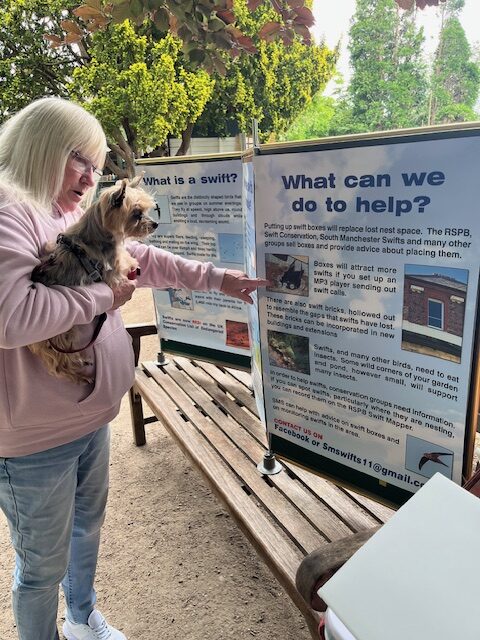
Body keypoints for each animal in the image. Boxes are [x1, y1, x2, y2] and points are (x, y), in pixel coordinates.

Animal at [28, 175, 158, 382]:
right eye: (137, 214)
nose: (155, 224)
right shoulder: (113, 271)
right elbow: (122, 270)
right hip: (61, 335)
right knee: (59, 363)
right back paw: (82, 374)